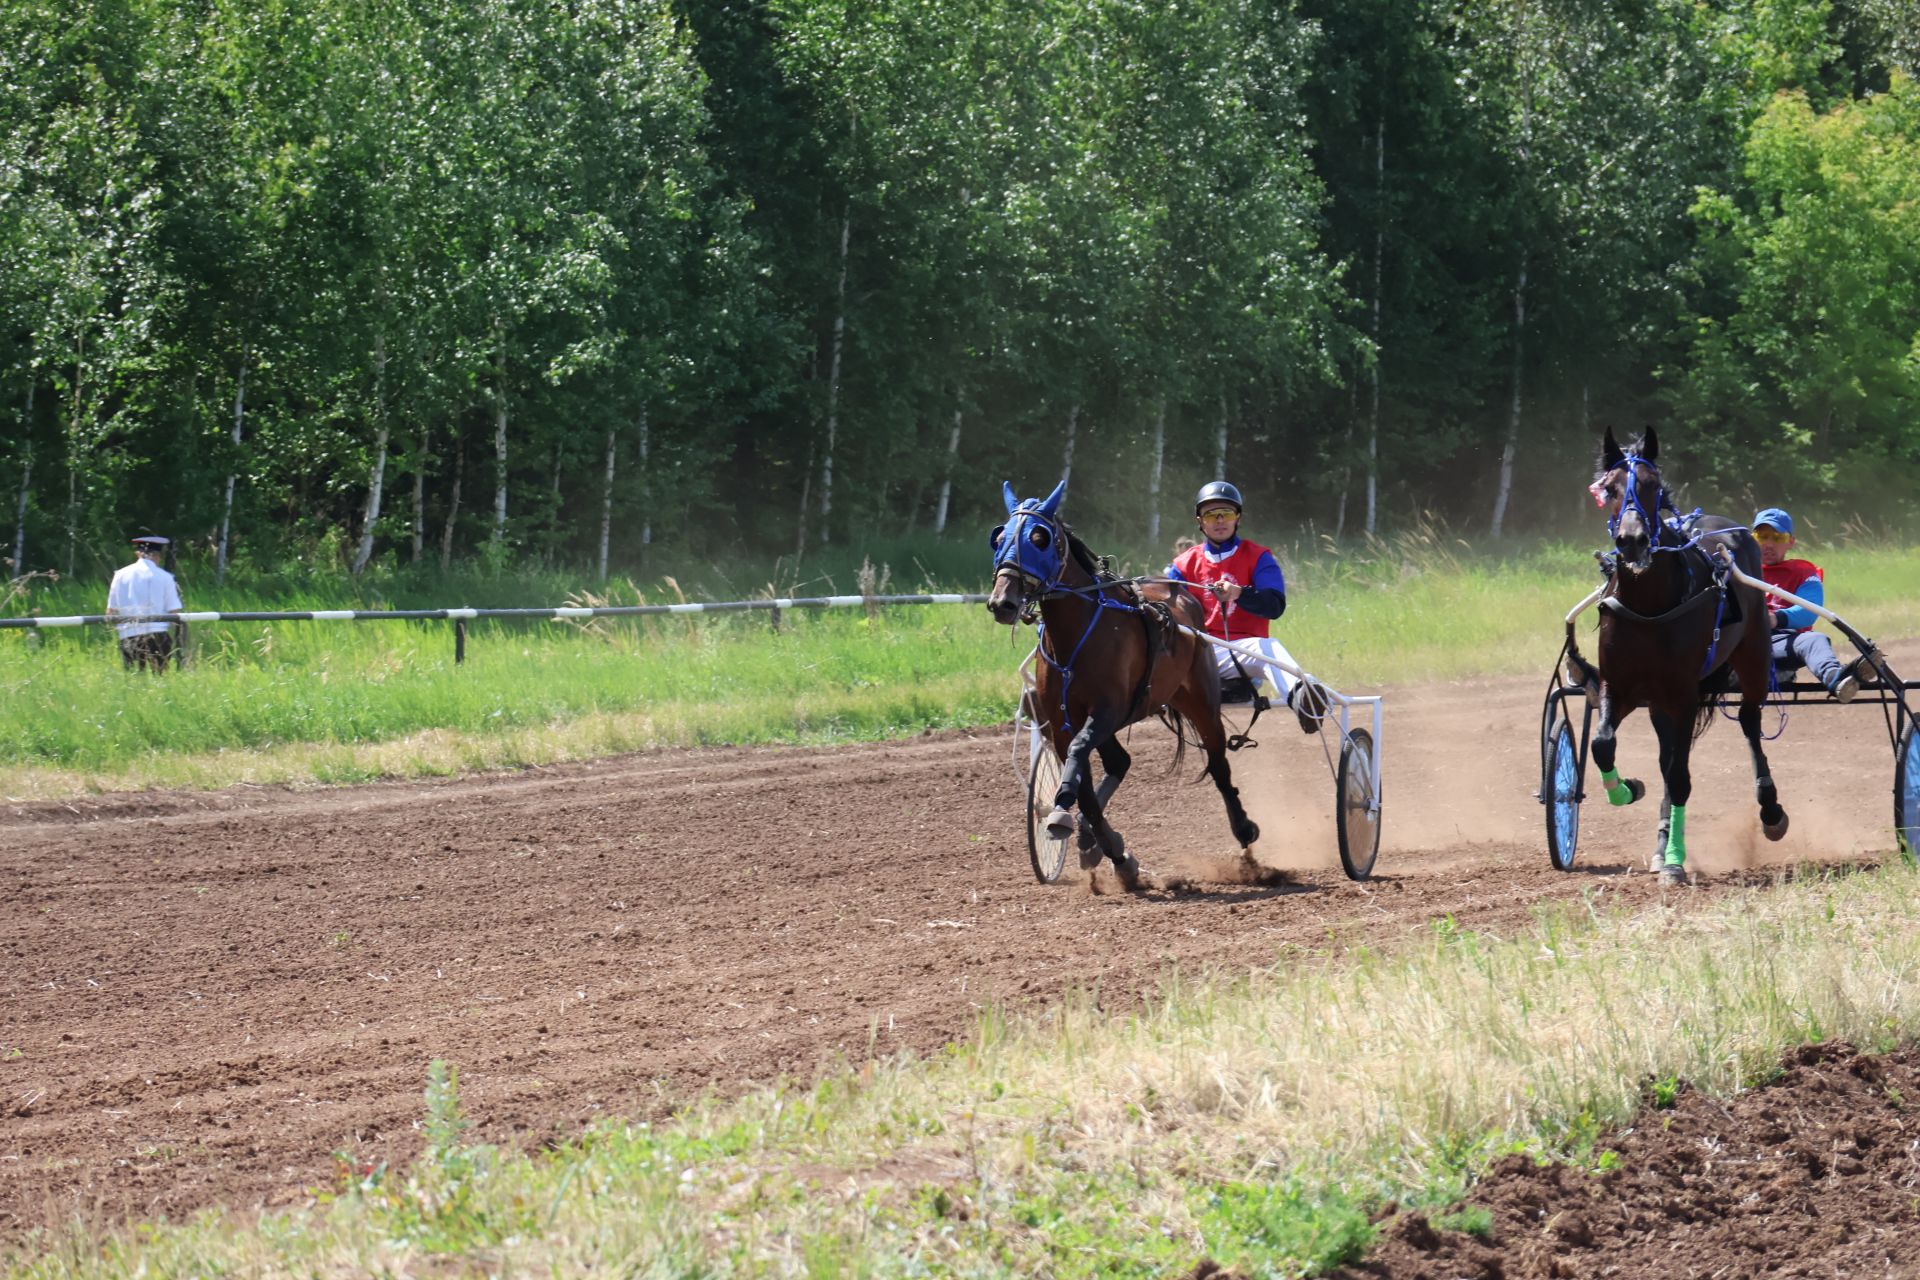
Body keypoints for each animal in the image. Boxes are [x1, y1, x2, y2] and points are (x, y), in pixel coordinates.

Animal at [990, 479, 1259, 890]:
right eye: (1000, 536)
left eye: (1039, 537)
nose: (1002, 602)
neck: (1076, 634)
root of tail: (1181, 593)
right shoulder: (1063, 719)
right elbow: (1081, 780)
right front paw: (1111, 850)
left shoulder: (1107, 708)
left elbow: (1079, 759)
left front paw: (1068, 814)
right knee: (1120, 760)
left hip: (1200, 699)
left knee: (1218, 763)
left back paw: (1243, 829)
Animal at [1559, 429, 1781, 882]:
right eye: (1610, 488)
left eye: (1652, 486)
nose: (1632, 540)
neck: (1649, 605)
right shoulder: (1620, 687)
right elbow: (1603, 745)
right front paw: (1627, 790)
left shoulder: (1684, 694)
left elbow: (1680, 777)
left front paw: (1676, 862)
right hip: (1660, 704)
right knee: (1666, 757)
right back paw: (1661, 842)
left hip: (1753, 656)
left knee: (1749, 720)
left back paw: (1770, 810)